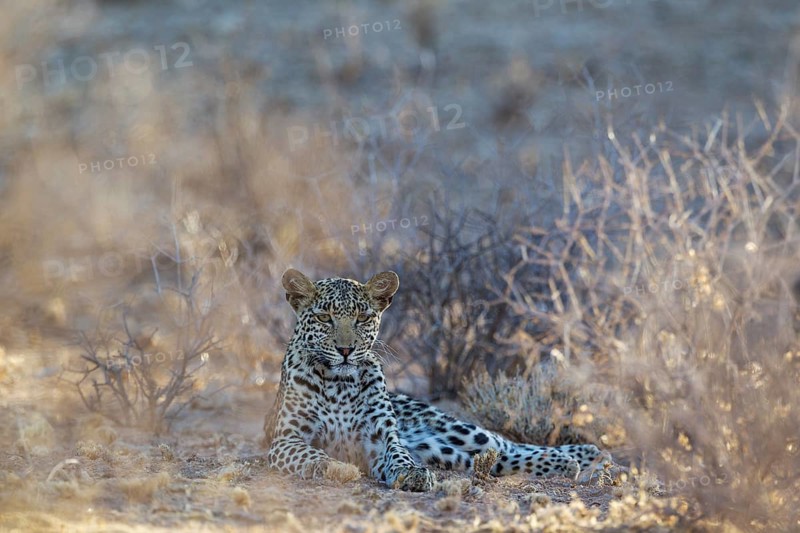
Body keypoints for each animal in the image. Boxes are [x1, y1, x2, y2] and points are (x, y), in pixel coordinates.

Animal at [264, 269, 610, 491]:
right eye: (324, 318)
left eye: (362, 318)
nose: (346, 350)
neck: (339, 383)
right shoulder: (286, 439)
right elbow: (311, 454)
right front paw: (335, 467)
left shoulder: (382, 437)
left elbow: (398, 454)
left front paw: (412, 474)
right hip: (444, 451)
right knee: (499, 459)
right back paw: (568, 462)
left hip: (459, 431)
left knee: (507, 444)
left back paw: (582, 454)